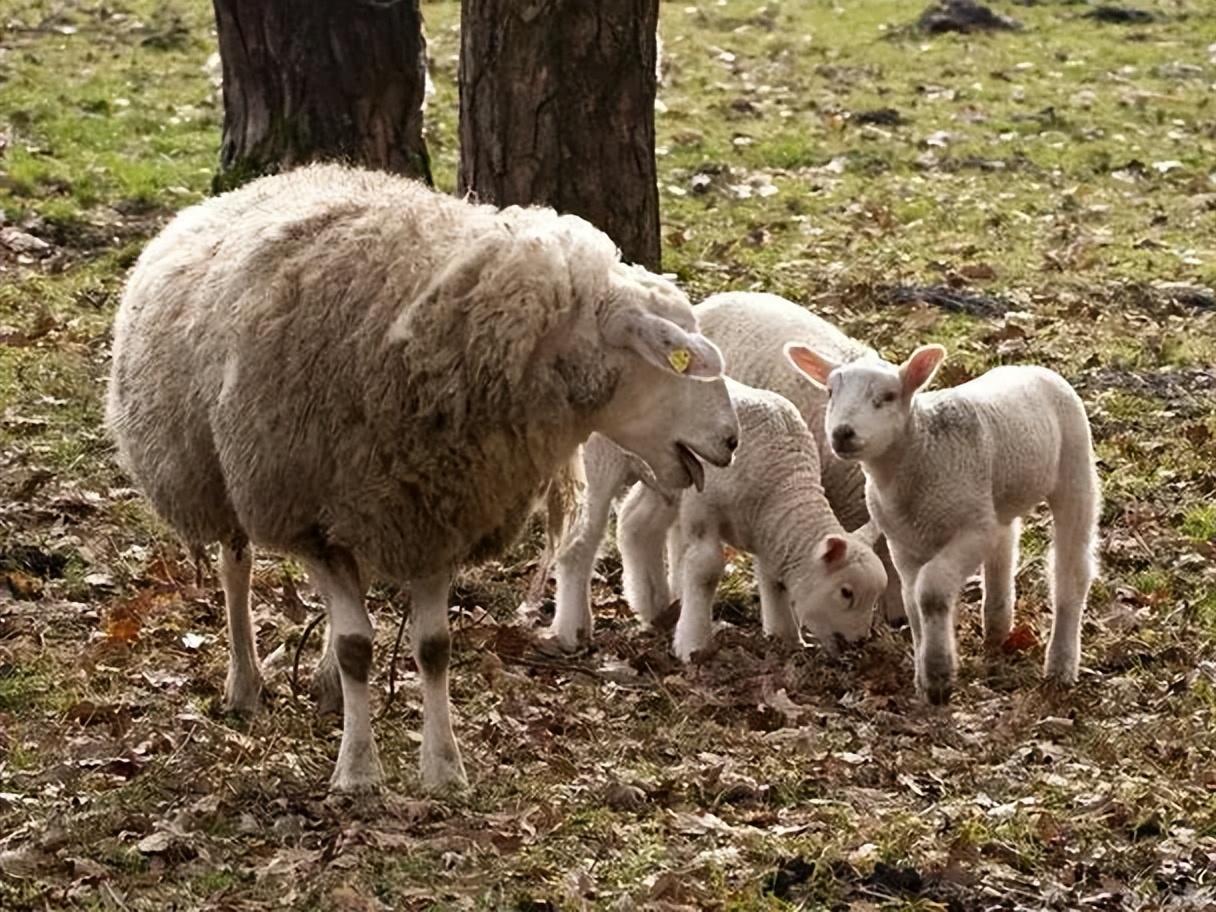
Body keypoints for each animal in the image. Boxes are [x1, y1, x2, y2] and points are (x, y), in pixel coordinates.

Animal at [109, 164, 739, 792]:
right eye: (673, 361)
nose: (731, 440)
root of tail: (276, 177)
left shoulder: (440, 514)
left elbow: (433, 647)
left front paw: (443, 769)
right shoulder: (311, 521)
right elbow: (357, 646)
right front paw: (358, 772)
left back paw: (326, 684)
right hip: (221, 477)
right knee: (234, 570)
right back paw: (244, 683)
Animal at [617, 379, 885, 666]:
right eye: (846, 592)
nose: (860, 642)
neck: (780, 484)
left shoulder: (770, 535)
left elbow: (772, 580)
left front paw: (785, 638)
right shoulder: (703, 510)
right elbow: (706, 570)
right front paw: (692, 645)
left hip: (667, 479)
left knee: (635, 522)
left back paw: (649, 604)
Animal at [787, 342, 1104, 705]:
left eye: (888, 396)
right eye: (829, 393)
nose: (842, 433)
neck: (920, 453)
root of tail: (1032, 367)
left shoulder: (973, 532)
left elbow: (931, 593)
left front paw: (939, 675)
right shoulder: (902, 543)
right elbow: (912, 604)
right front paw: (924, 675)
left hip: (1074, 467)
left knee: (1071, 570)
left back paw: (1060, 666)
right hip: (996, 495)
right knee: (1005, 545)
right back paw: (997, 629)